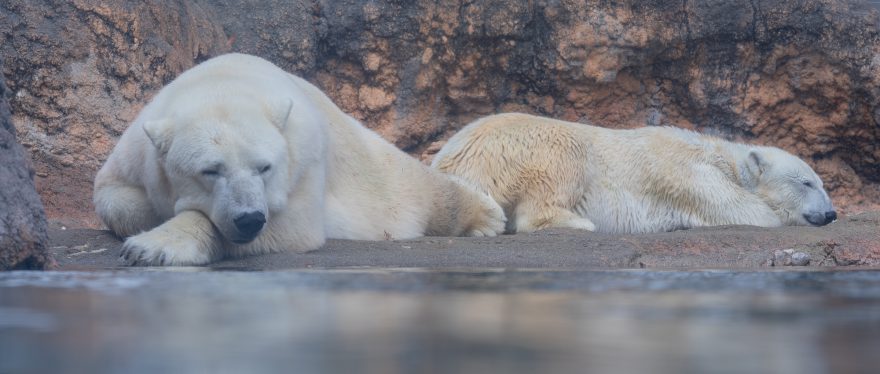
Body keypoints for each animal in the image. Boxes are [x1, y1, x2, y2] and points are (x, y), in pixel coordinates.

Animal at [93, 53, 506, 266]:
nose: (249, 218)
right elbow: (113, 196)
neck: (221, 84)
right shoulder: (136, 149)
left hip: (368, 162)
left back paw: (487, 216)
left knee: (413, 186)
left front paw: (152, 248)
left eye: (265, 167)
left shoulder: (303, 158)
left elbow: (293, 225)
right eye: (210, 170)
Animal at [436, 112, 836, 234]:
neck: (720, 155)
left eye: (821, 182)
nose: (831, 212)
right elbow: (746, 211)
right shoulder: (688, 173)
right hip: (529, 146)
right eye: (806, 182)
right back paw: (580, 222)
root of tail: (452, 160)